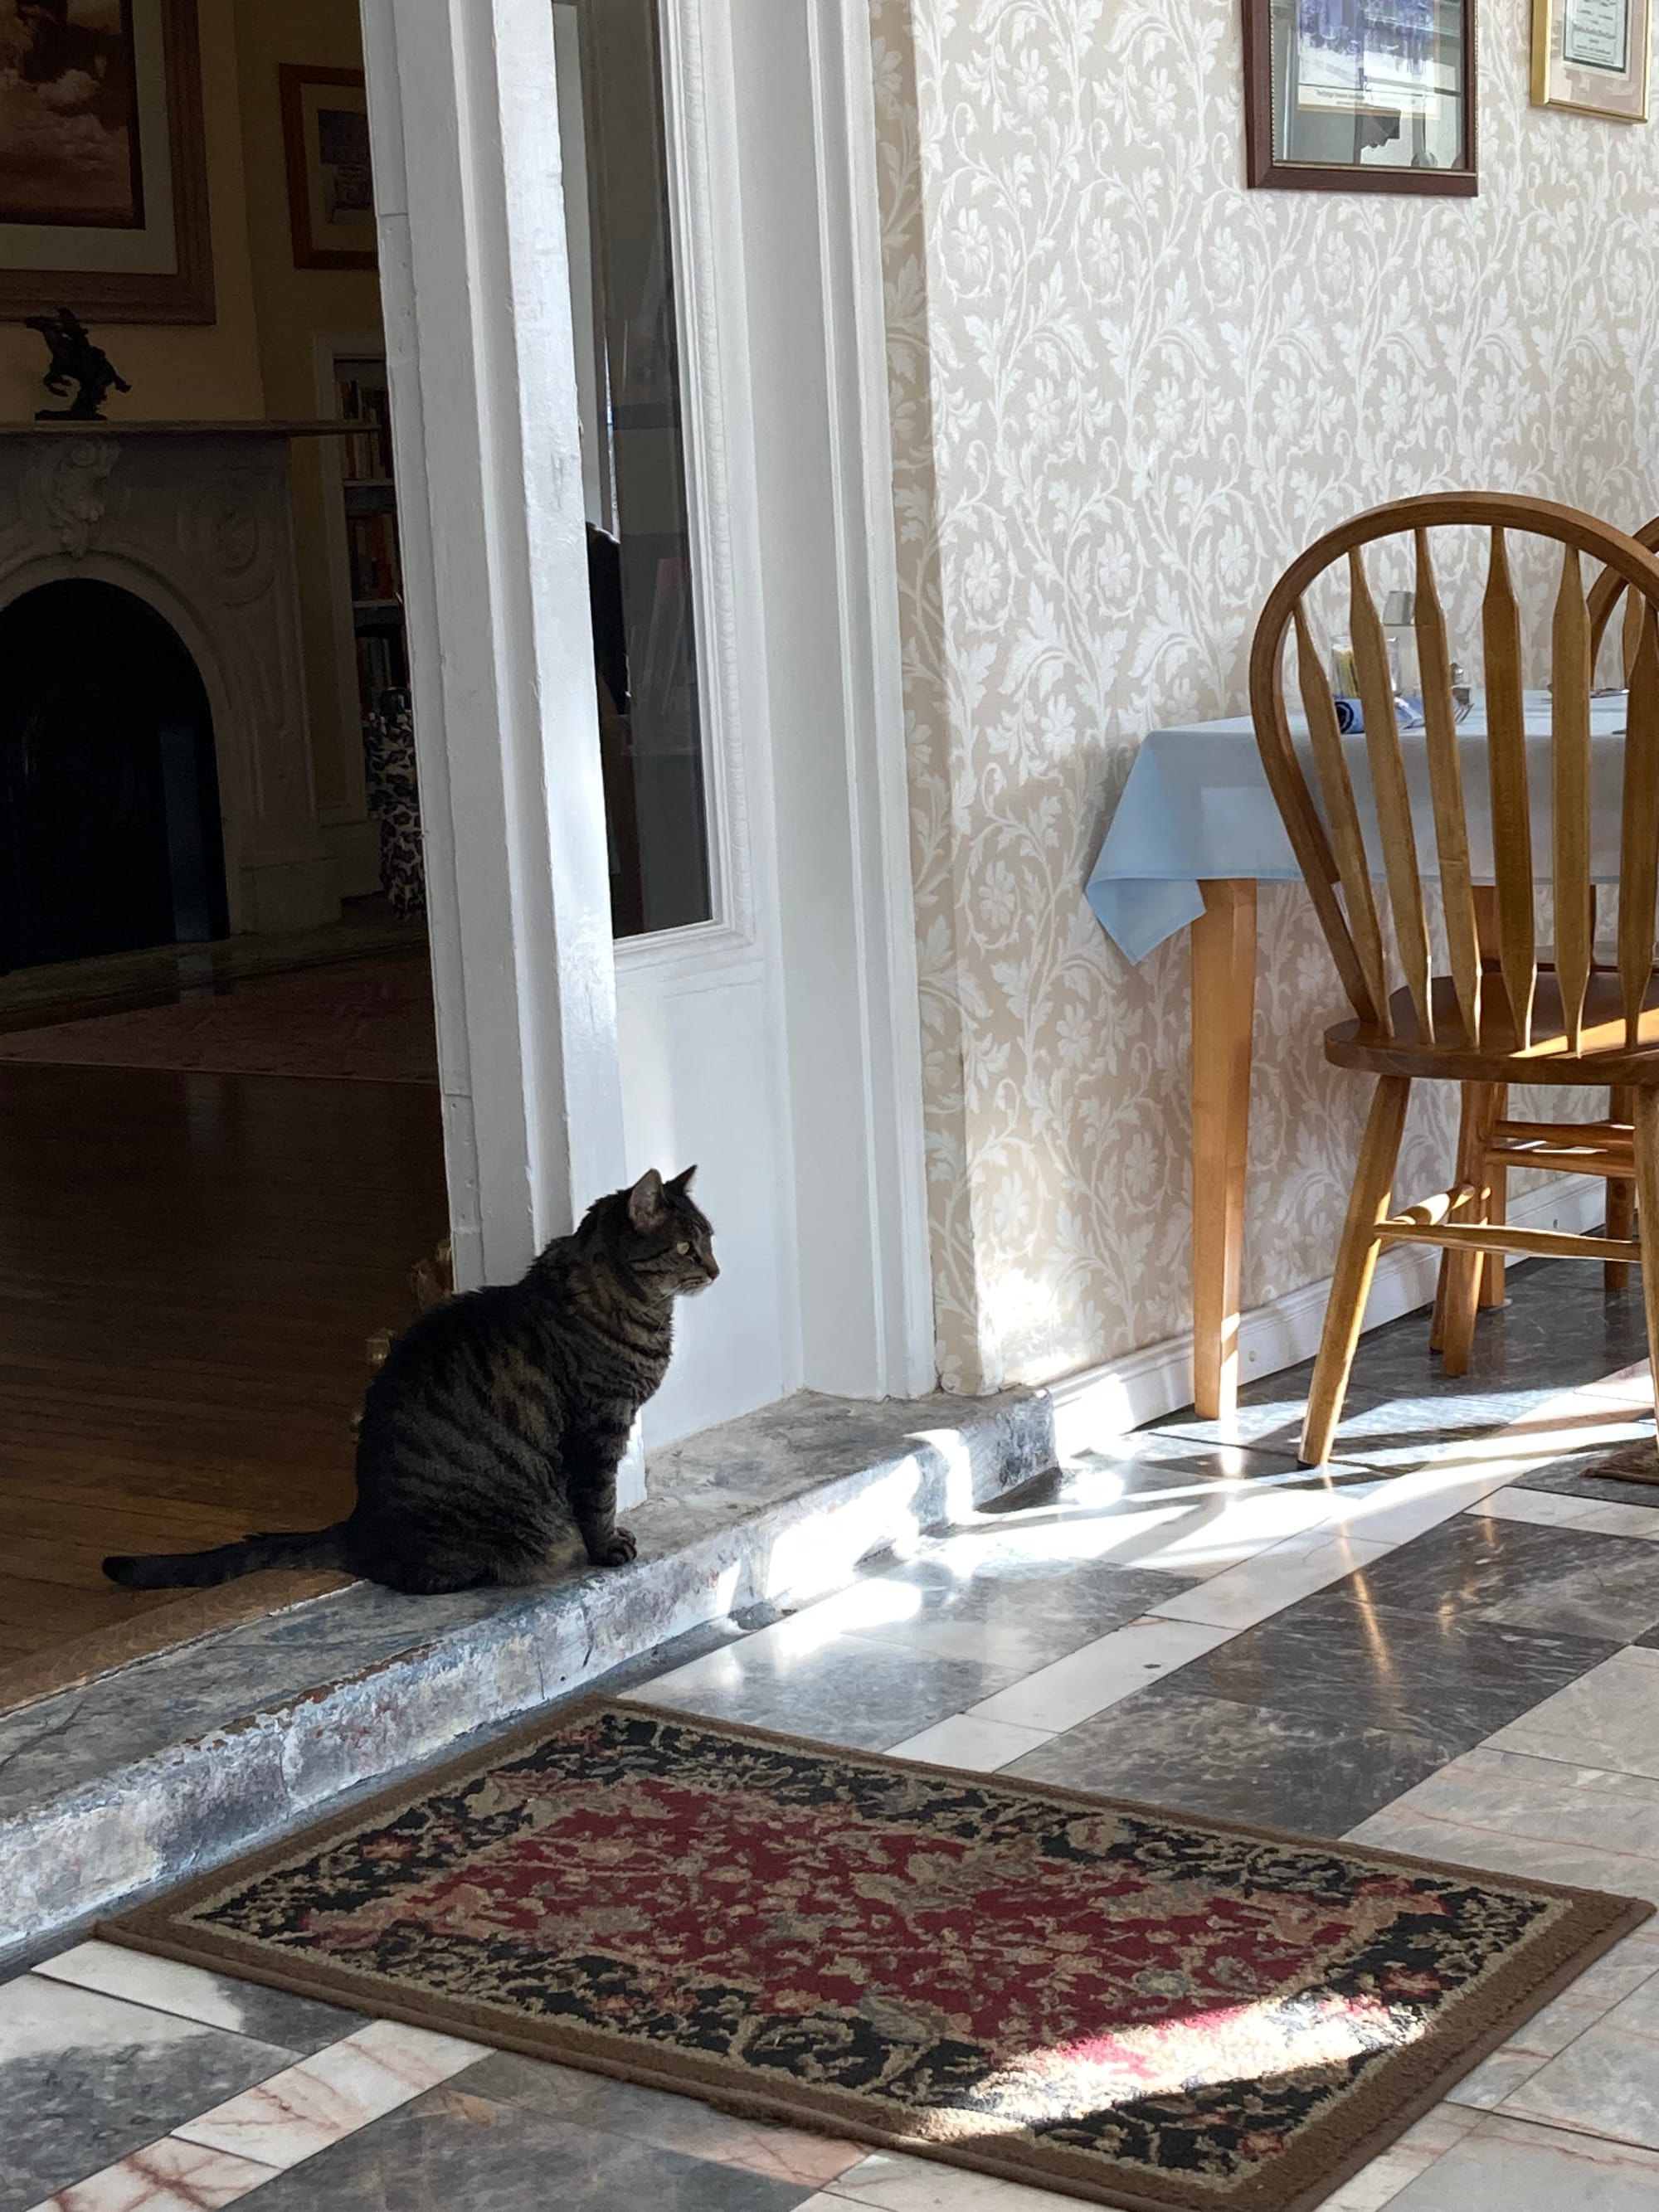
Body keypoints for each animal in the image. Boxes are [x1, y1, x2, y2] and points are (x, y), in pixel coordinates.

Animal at [104, 1168, 717, 1601]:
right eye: (685, 1247)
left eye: (708, 1239)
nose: (715, 1269)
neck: (637, 1306)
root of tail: (357, 1522)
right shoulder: (600, 1426)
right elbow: (600, 1497)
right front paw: (608, 1547)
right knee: (415, 1577)